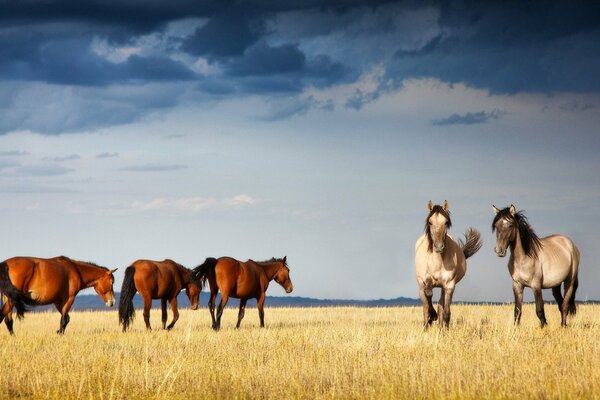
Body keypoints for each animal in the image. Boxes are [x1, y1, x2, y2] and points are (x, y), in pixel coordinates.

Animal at [412, 200, 482, 328]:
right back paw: (428, 323)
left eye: (446, 222)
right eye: (430, 222)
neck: (438, 262)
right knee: (425, 309)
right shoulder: (426, 280)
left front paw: (444, 327)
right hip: (420, 285)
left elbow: (446, 312)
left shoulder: (449, 285)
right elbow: (429, 294)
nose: (439, 247)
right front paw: (432, 315)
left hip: (443, 288)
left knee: (441, 307)